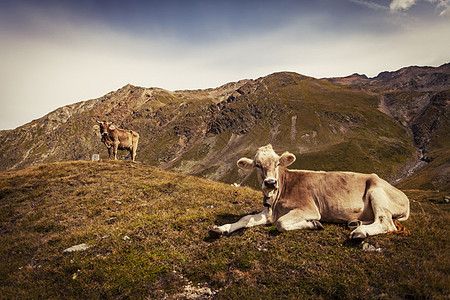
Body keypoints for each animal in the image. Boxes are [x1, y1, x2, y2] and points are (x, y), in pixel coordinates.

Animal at [209, 144, 410, 240]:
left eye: (278, 163)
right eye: (257, 165)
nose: (270, 182)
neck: (275, 200)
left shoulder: (309, 208)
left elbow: (281, 223)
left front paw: (313, 224)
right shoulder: (269, 213)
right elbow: (245, 219)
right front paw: (222, 228)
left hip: (376, 192)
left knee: (386, 222)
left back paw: (360, 232)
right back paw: (356, 223)